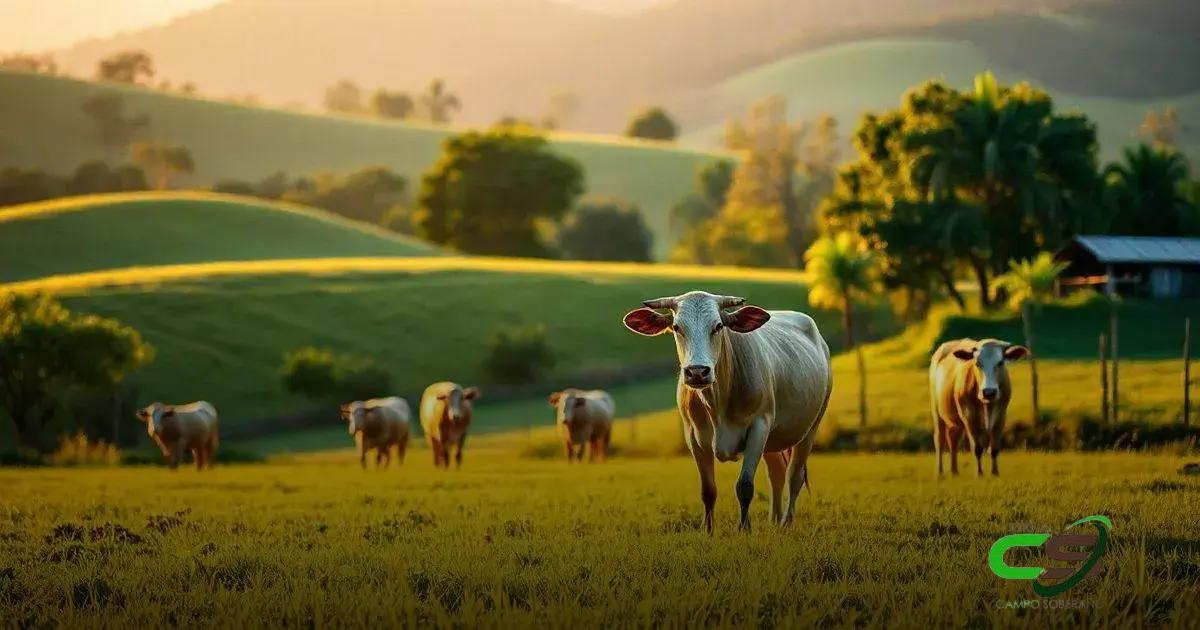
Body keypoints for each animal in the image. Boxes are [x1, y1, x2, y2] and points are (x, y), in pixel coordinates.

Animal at [622, 291, 832, 532]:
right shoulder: (693, 437)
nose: (697, 372)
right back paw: (774, 520)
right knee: (777, 475)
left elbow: (745, 485)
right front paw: (708, 531)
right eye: (676, 327)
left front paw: (743, 529)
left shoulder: (759, 427)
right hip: (772, 440)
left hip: (810, 428)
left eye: (718, 326)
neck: (716, 404)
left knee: (794, 477)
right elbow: (708, 490)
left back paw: (786, 522)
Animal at [929, 338, 1029, 477]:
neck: (987, 407)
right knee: (940, 441)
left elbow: (994, 448)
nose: (989, 392)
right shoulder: (969, 416)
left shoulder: (1001, 416)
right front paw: (979, 473)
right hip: (937, 413)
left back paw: (954, 472)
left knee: (953, 440)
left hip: (956, 421)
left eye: (1000, 363)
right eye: (977, 364)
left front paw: (995, 473)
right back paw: (940, 473)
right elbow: (977, 447)